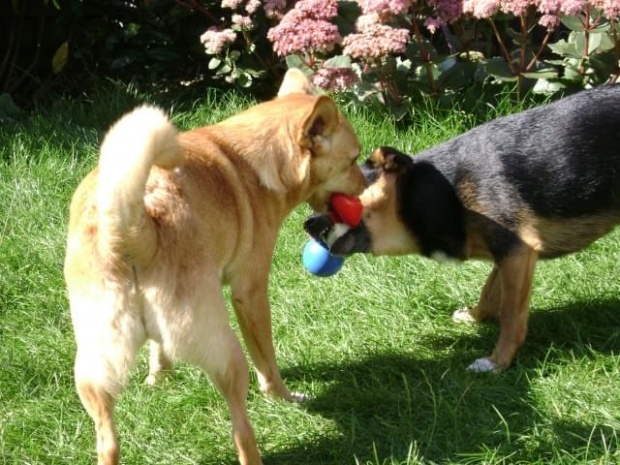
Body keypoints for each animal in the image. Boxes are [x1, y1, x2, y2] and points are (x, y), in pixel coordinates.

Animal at [65, 70, 366, 464]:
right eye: (354, 159)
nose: (368, 183)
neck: (256, 160)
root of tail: (134, 229)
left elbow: (158, 349)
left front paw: (158, 377)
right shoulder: (250, 294)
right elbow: (268, 361)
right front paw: (283, 395)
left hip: (93, 372)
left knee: (107, 441)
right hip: (226, 353)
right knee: (241, 430)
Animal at [306, 84, 620, 374]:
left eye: (335, 200)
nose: (305, 224)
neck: (442, 192)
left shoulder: (517, 250)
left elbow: (511, 315)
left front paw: (497, 362)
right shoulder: (508, 254)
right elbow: (490, 290)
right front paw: (475, 315)